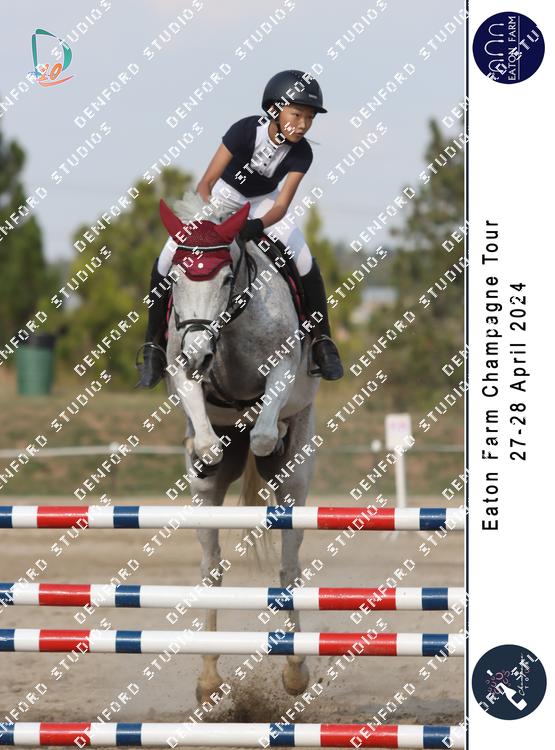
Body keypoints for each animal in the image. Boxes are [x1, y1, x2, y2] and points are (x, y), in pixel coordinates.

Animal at [158, 192, 320, 702]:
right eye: (174, 278)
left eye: (227, 278)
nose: (197, 353)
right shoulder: (180, 369)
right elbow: (205, 433)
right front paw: (204, 450)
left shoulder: (283, 368)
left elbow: (266, 432)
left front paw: (266, 438)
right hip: (208, 510)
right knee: (212, 569)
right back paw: (209, 676)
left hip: (298, 479)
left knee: (289, 566)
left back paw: (295, 670)